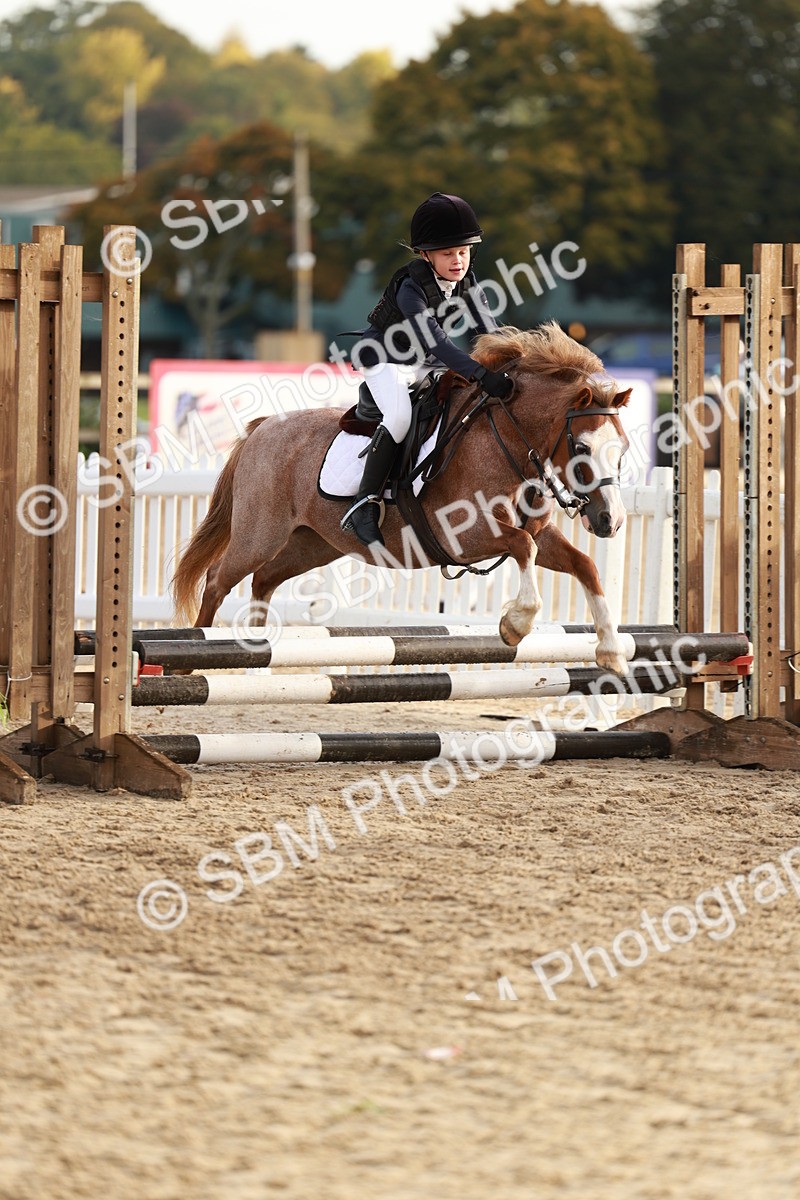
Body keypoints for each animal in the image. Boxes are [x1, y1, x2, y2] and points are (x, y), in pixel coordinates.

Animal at [172, 322, 632, 674]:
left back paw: (255, 650)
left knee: (264, 579)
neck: (507, 441)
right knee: (218, 579)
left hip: (313, 544)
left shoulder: (539, 534)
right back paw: (193, 656)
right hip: (260, 534)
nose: (609, 521)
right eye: (582, 447)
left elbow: (582, 564)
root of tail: (264, 426)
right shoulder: (463, 536)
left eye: (623, 449)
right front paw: (515, 625)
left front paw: (610, 652)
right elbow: (523, 547)